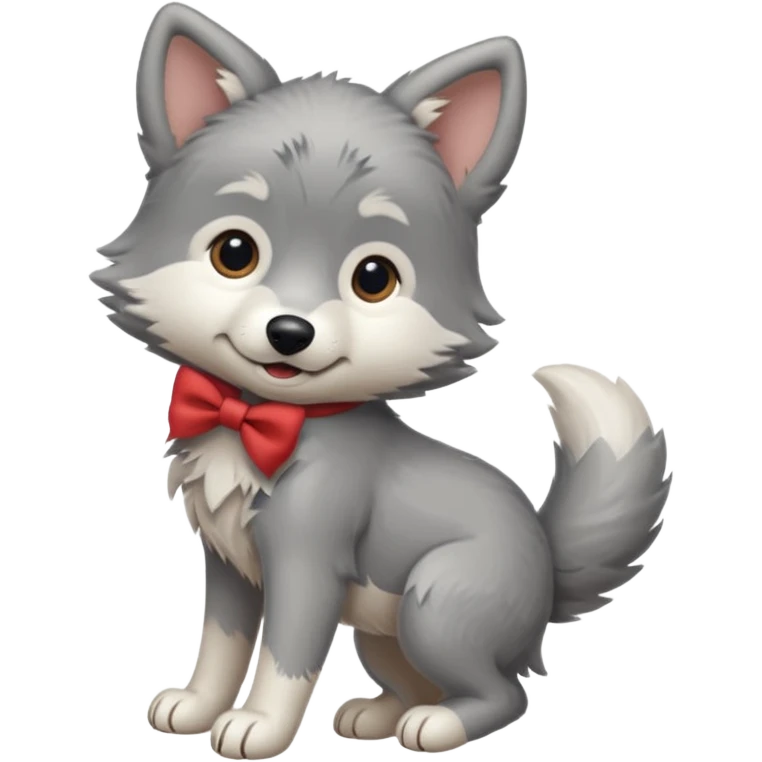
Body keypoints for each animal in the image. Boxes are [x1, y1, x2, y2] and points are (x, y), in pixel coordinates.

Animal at [92, 4, 671, 759]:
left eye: (374, 278)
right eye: (234, 252)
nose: (289, 332)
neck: (260, 423)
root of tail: (545, 561)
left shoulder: (308, 564)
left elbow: (284, 658)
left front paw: (258, 727)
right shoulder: (228, 563)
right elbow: (220, 644)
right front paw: (196, 706)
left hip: (435, 599)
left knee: (504, 693)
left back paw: (435, 725)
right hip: (383, 632)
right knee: (422, 679)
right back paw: (380, 715)